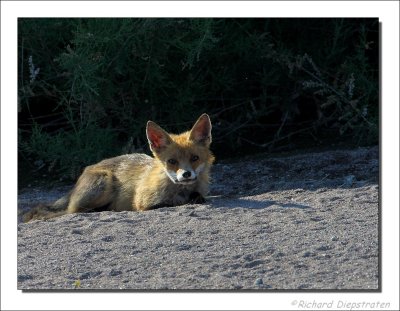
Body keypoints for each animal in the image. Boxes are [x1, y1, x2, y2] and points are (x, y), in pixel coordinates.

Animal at [23, 114, 214, 222]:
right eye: (172, 161)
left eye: (194, 158)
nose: (186, 174)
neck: (180, 190)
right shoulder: (142, 203)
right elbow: (167, 204)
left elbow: (198, 197)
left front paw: (193, 198)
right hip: (103, 184)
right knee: (71, 211)